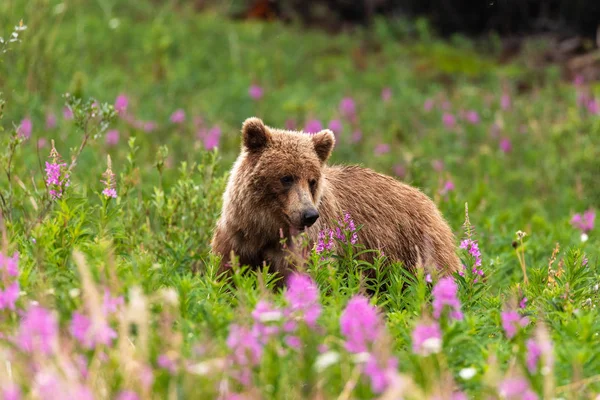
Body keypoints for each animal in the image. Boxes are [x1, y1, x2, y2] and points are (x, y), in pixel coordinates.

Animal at [213, 117, 462, 282]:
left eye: (312, 180)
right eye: (286, 177)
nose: (309, 215)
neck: (265, 229)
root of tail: (428, 200)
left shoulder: (305, 248)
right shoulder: (237, 240)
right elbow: (226, 277)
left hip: (416, 245)